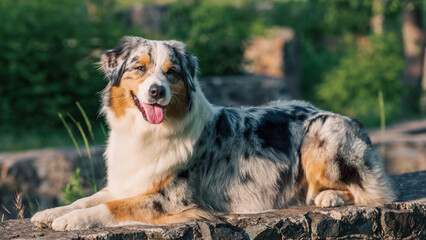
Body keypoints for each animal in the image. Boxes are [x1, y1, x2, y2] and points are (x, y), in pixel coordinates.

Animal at [31, 36, 394, 231]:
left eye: (171, 73)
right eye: (139, 68)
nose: (156, 92)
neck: (146, 132)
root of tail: (352, 120)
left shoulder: (171, 198)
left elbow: (112, 208)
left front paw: (73, 221)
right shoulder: (128, 182)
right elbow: (90, 198)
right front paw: (51, 213)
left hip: (321, 131)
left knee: (373, 192)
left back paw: (329, 196)